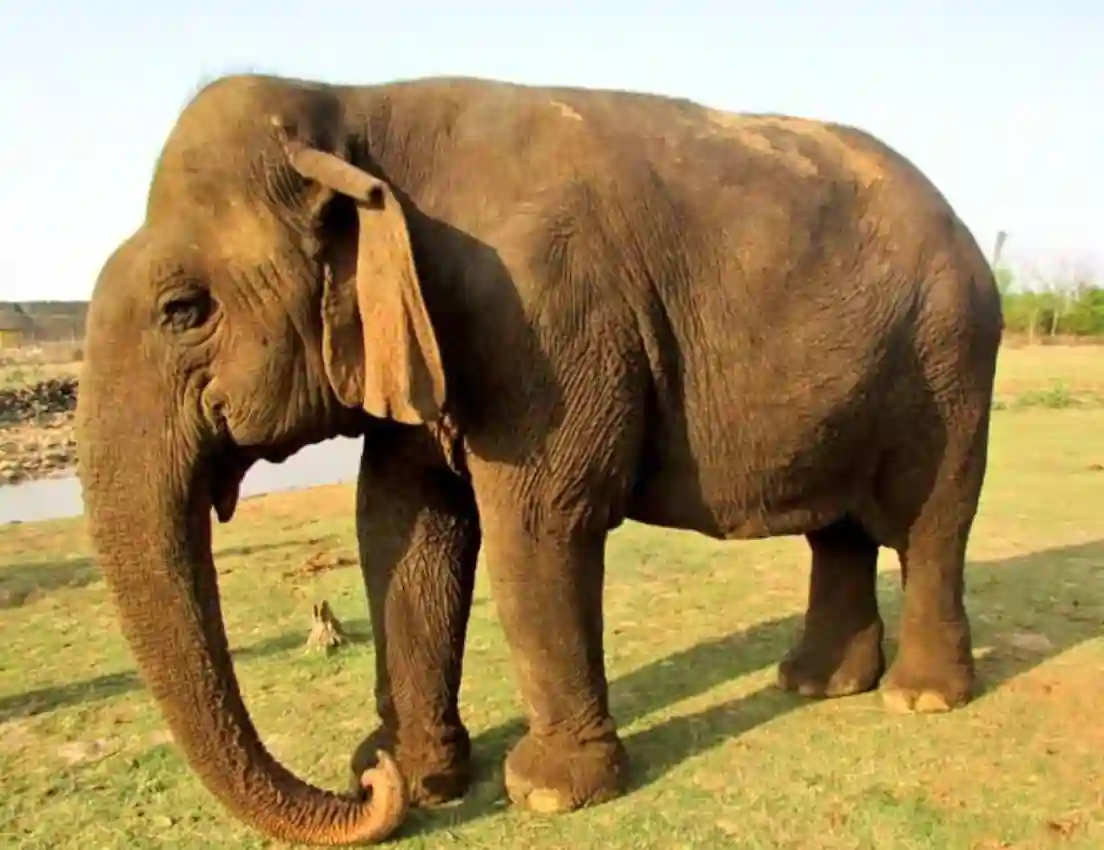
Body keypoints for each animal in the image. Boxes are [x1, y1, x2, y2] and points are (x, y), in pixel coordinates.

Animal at [75, 72, 1004, 845]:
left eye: (183, 309)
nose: (365, 779)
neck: (355, 107)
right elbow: (403, 526)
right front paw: (423, 776)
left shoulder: (544, 317)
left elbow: (537, 522)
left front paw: (550, 794)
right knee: (838, 530)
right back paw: (815, 686)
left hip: (952, 356)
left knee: (933, 521)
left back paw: (919, 698)